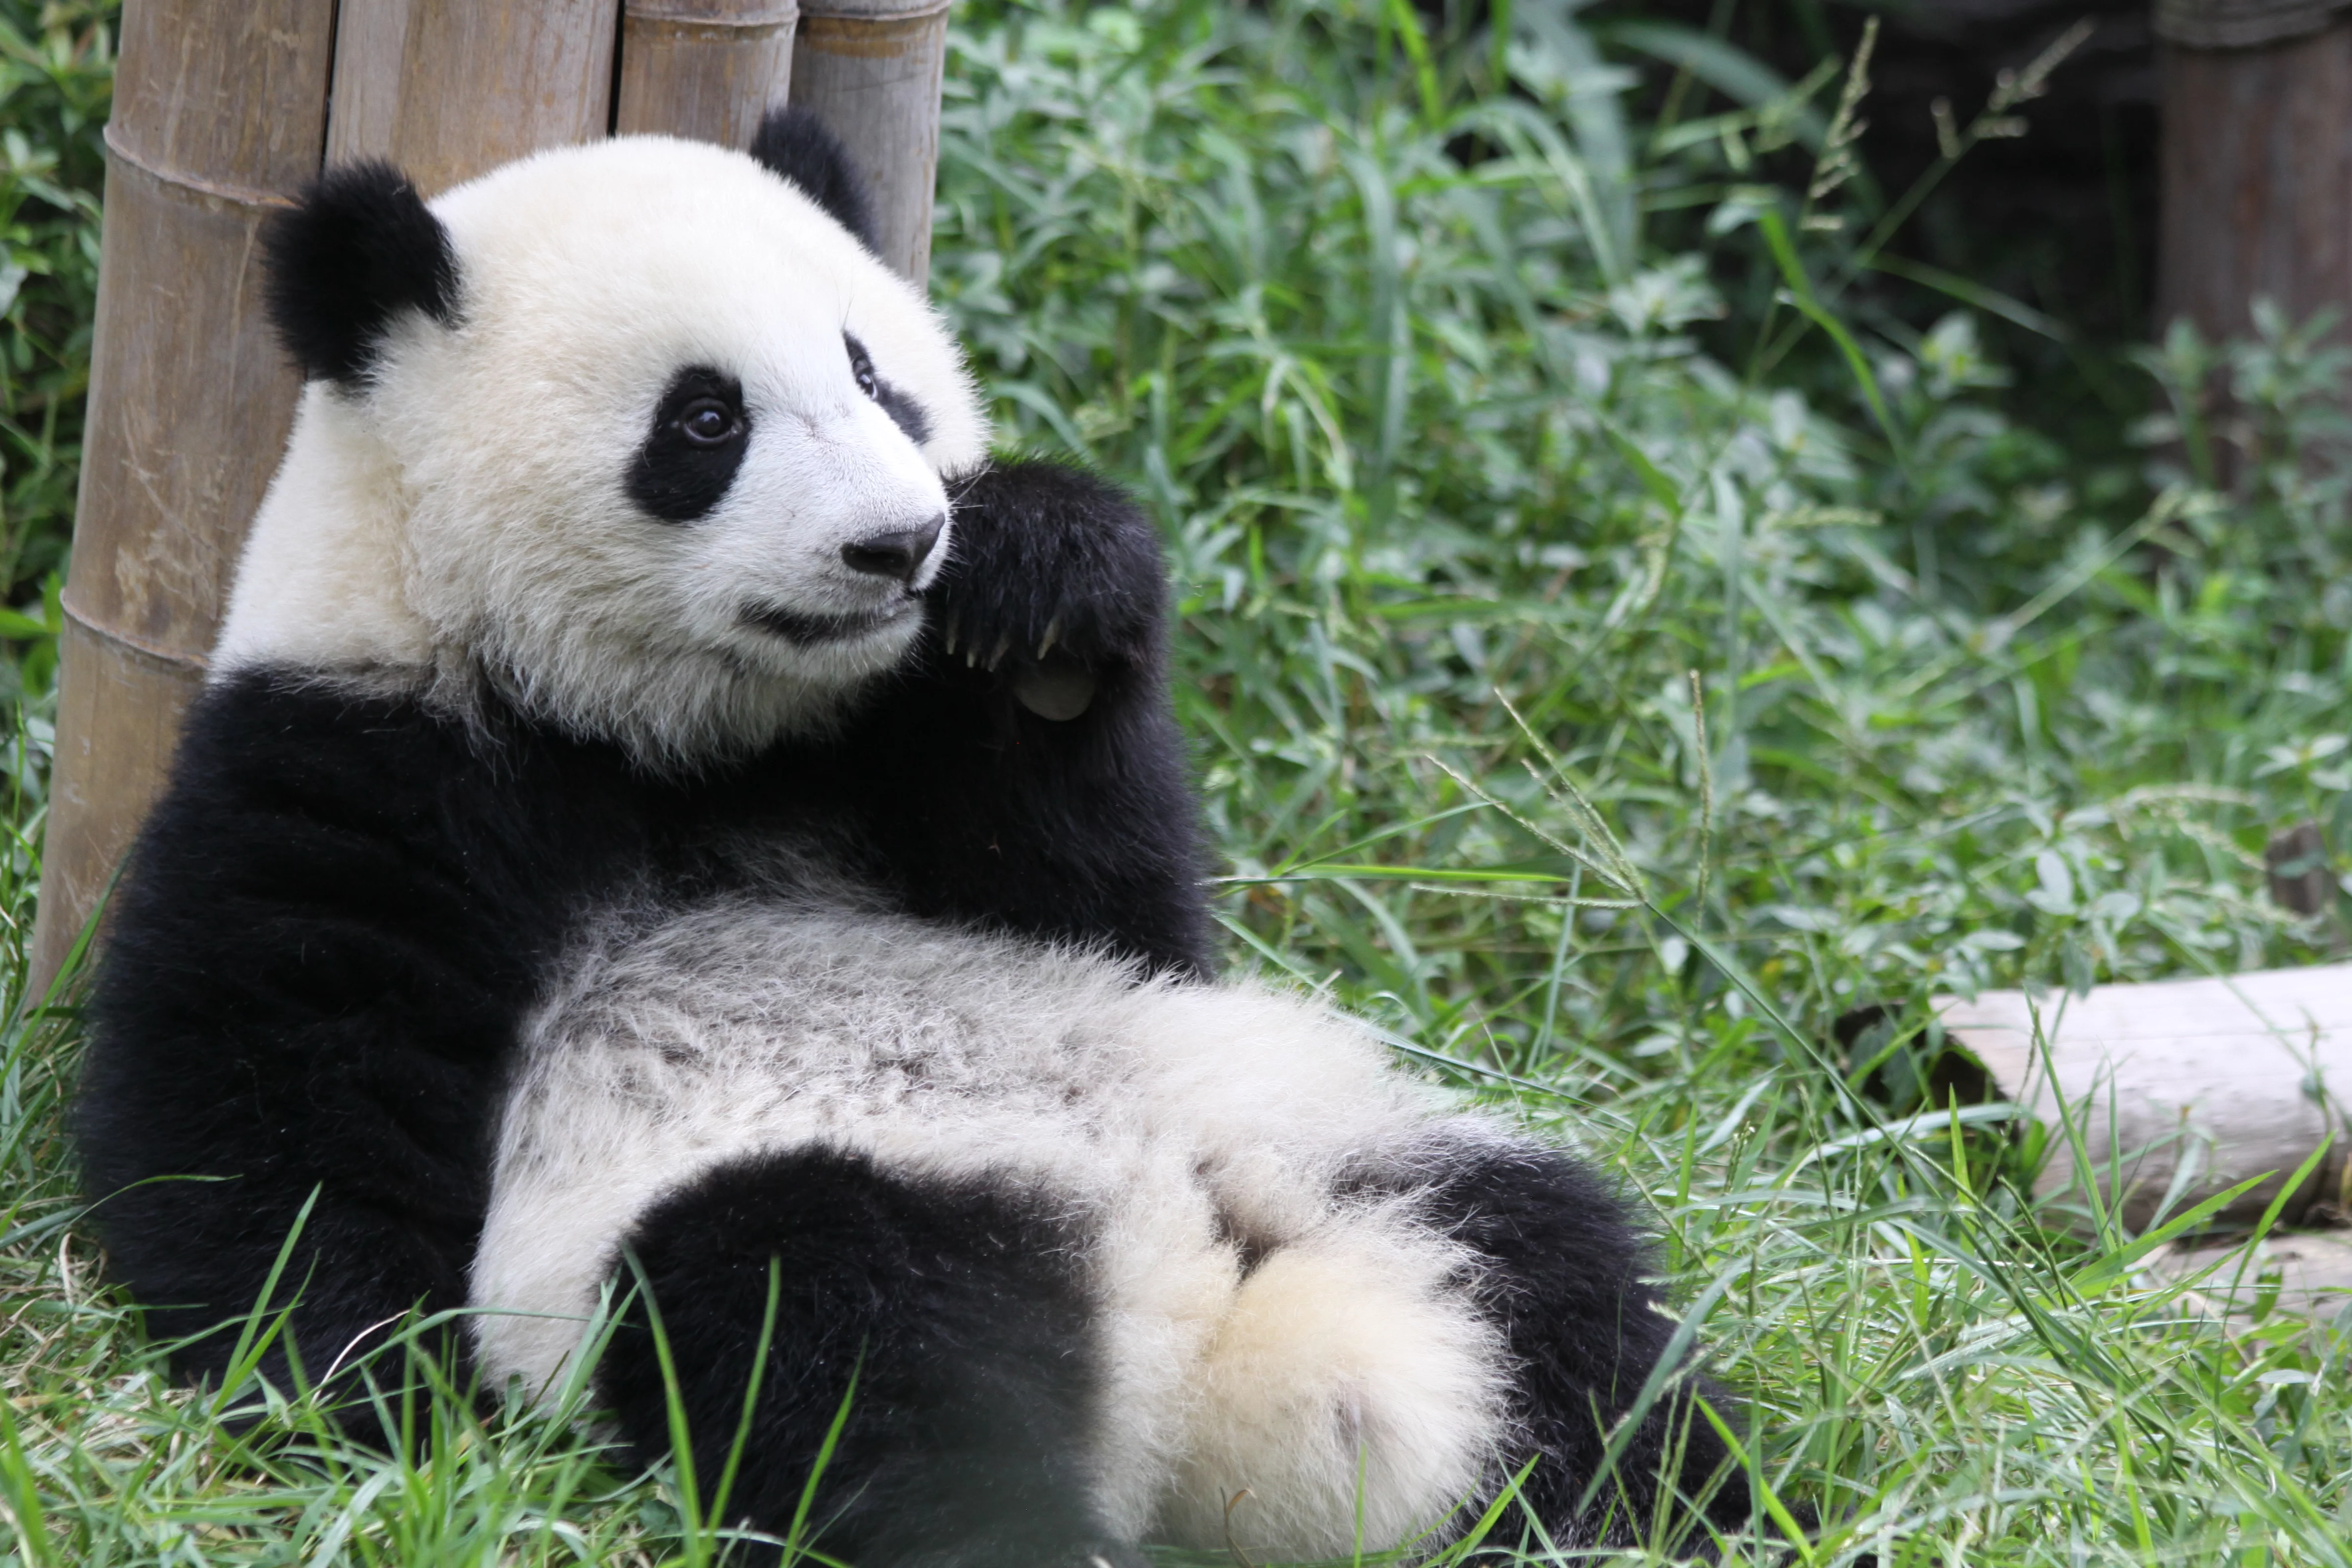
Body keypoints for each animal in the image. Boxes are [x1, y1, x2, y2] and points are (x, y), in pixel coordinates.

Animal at [74, 110, 1758, 1567]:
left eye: (877, 378)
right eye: (705, 419)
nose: (901, 545)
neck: (676, 740)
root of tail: (1201, 1329)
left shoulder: (893, 755)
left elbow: (1118, 912)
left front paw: (1048, 591)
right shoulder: (367, 747)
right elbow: (277, 1096)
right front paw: (381, 1404)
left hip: (1328, 1134)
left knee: (1563, 1291)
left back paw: (1680, 1508)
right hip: (825, 1220)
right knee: (844, 1346)